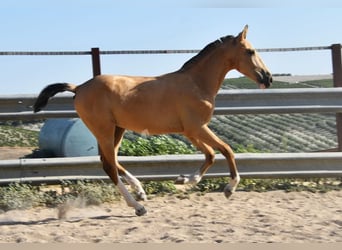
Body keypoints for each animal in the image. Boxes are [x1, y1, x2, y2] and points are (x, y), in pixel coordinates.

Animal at [34, 25, 272, 217]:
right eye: (250, 51)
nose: (268, 78)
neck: (196, 83)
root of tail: (79, 88)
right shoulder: (197, 128)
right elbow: (225, 150)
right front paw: (229, 188)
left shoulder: (190, 131)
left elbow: (211, 154)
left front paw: (184, 179)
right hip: (104, 129)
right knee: (109, 165)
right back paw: (138, 206)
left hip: (117, 129)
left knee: (111, 160)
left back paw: (140, 191)